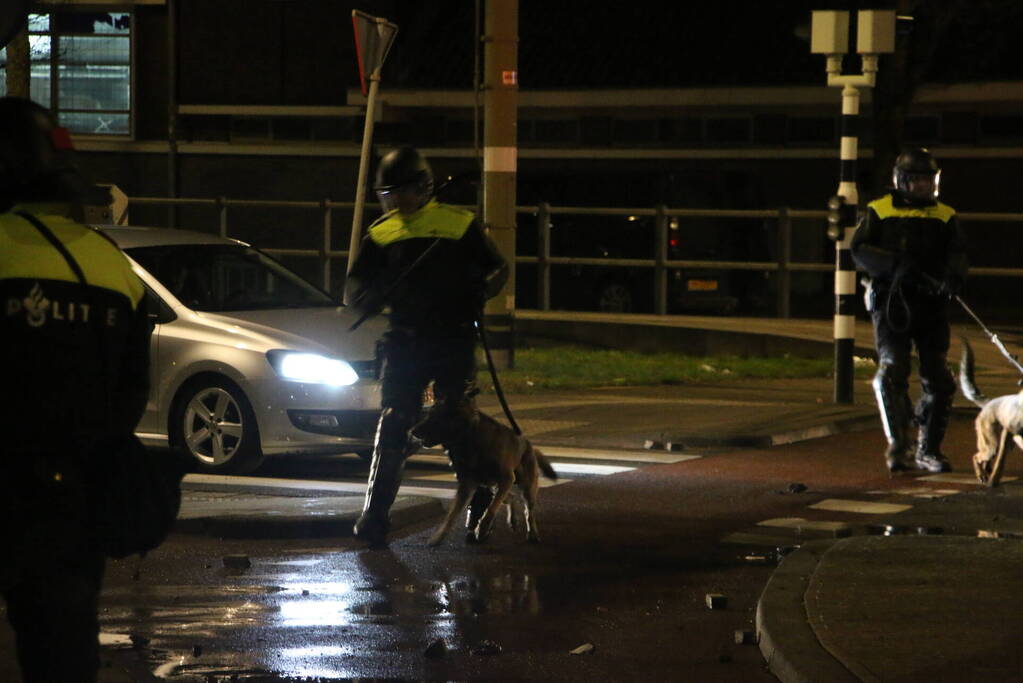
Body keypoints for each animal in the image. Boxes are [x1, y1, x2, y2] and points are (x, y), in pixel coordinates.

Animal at [411, 400, 556, 543]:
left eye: (434, 416)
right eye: (428, 414)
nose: (411, 431)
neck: (470, 440)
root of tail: (529, 444)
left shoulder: (506, 479)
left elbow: (491, 509)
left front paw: (482, 528)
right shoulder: (466, 487)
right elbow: (451, 516)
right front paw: (439, 536)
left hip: (526, 488)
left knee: (528, 512)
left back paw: (533, 533)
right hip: (495, 487)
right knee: (510, 497)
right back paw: (512, 520)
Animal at [957, 335, 1023, 484]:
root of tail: (989, 402)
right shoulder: (1009, 432)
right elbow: (1000, 463)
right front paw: (994, 480)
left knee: (985, 460)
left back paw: (985, 472)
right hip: (992, 445)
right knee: (976, 457)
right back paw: (982, 475)